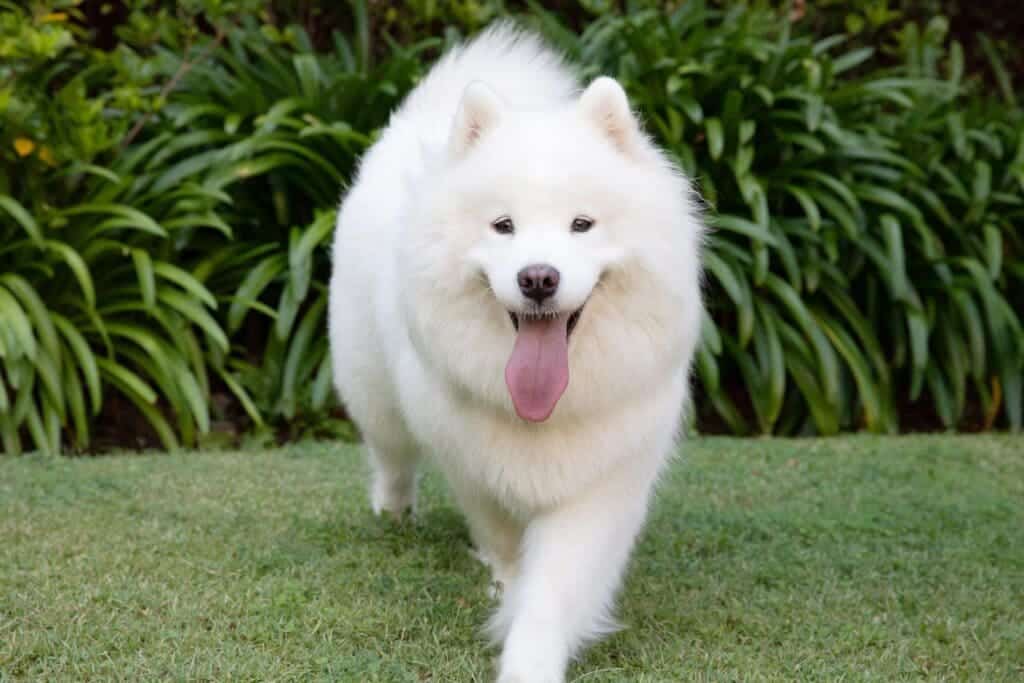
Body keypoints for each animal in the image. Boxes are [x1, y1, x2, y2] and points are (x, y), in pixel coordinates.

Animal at [327, 24, 704, 679]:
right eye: (503, 226)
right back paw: (393, 511)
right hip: (373, 389)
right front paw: (505, 584)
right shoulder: (473, 463)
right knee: (392, 456)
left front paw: (530, 651)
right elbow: (502, 539)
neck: (543, 410)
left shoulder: (603, 483)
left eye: (582, 224)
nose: (538, 278)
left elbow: (555, 589)